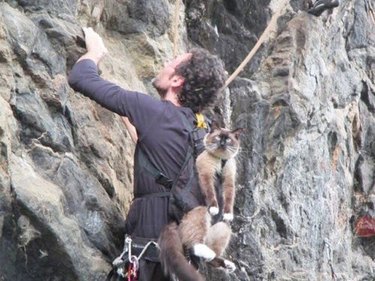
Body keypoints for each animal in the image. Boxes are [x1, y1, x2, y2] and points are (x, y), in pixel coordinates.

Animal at [157, 123, 242, 280]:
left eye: (228, 139)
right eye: (218, 138)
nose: (222, 143)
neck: (221, 161)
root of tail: (175, 220)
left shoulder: (229, 180)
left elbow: (229, 198)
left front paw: (228, 214)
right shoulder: (206, 174)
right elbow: (211, 193)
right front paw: (215, 208)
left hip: (223, 227)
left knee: (210, 258)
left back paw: (226, 264)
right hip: (200, 210)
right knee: (192, 244)